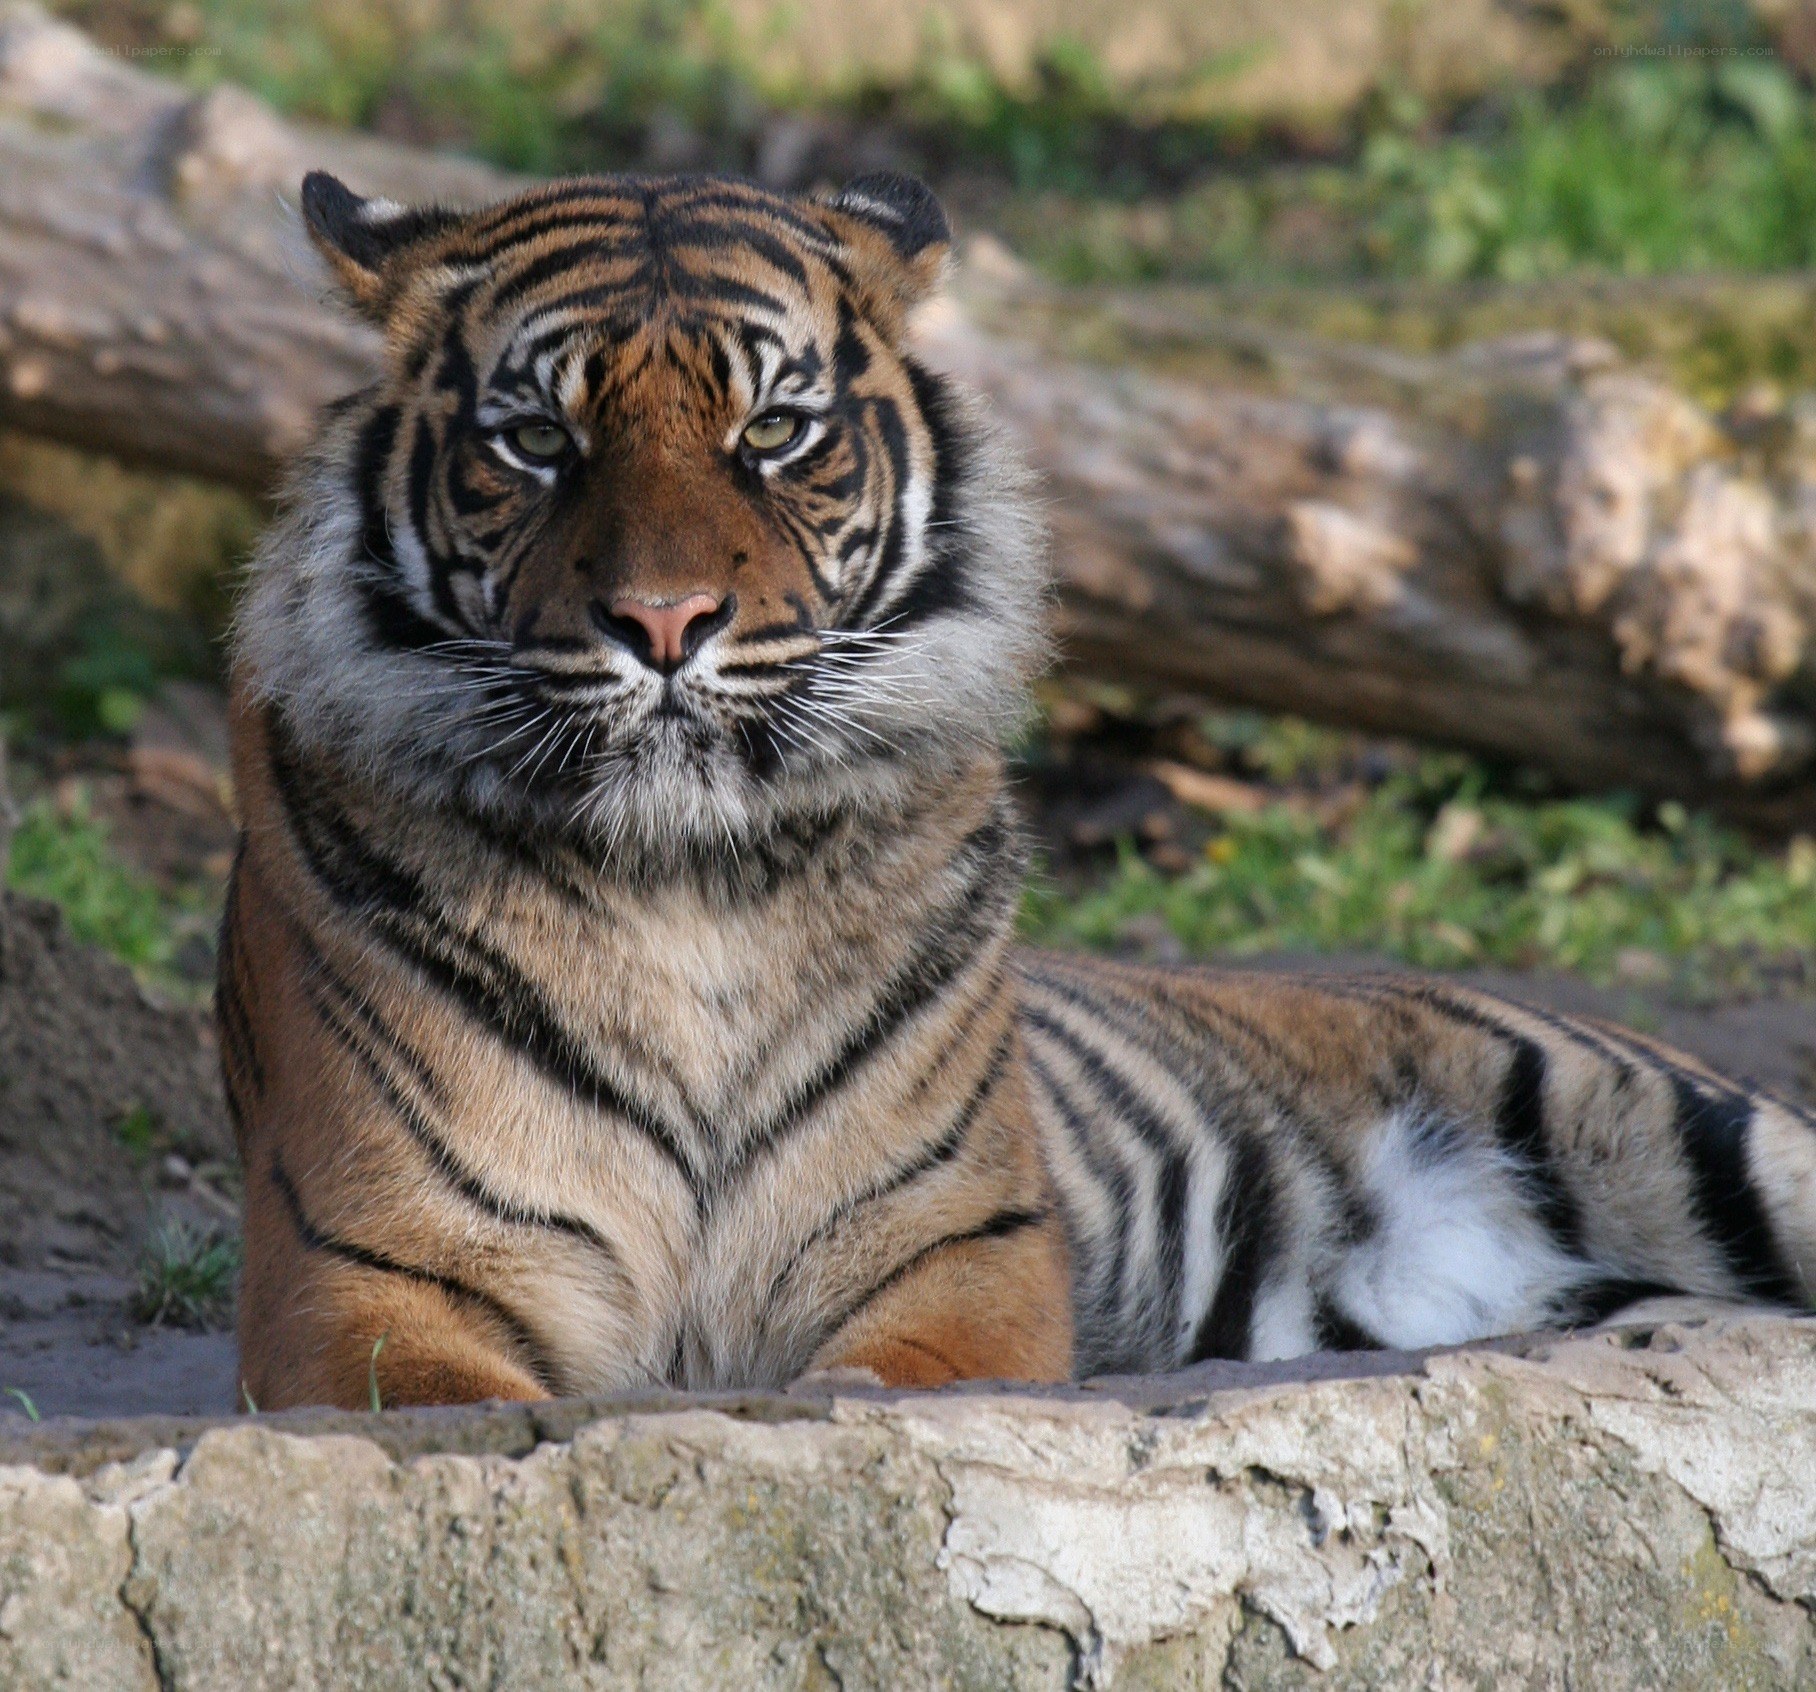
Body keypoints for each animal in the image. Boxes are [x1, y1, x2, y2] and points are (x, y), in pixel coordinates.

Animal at [219, 166, 1816, 1410]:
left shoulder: (957, 1252)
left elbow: (882, 1387)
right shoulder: (372, 1270)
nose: (664, 622)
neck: (689, 884)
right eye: (536, 441)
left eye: (776, 432)